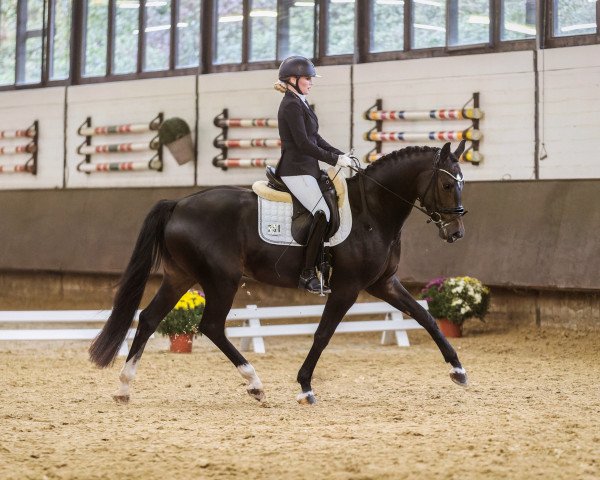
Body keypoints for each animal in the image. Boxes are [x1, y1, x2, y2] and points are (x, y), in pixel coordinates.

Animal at [91, 141, 472, 404]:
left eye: (462, 183)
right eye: (446, 185)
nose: (456, 233)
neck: (373, 211)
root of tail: (179, 204)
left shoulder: (384, 283)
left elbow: (426, 317)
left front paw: (458, 370)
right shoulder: (348, 287)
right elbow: (323, 334)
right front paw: (305, 387)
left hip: (180, 276)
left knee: (149, 318)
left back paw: (124, 387)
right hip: (223, 278)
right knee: (210, 325)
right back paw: (255, 384)